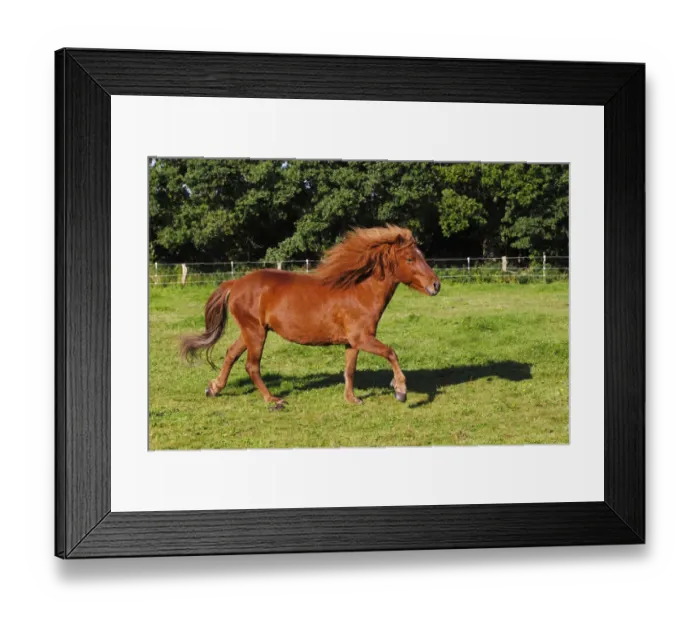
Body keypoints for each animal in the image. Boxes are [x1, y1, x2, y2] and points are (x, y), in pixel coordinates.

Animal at [179, 225, 441, 408]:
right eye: (410, 259)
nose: (436, 285)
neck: (359, 291)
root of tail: (235, 283)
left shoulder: (352, 342)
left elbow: (350, 370)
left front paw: (352, 399)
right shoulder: (363, 338)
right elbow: (391, 352)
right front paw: (400, 391)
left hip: (251, 331)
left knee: (231, 354)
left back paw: (214, 388)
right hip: (255, 333)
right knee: (251, 365)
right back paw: (273, 400)